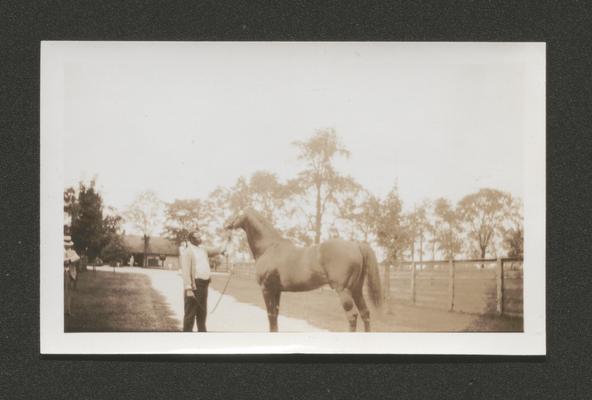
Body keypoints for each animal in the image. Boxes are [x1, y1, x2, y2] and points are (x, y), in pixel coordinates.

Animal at [223, 208, 384, 332]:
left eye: (237, 213)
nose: (226, 225)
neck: (269, 248)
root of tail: (356, 245)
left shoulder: (266, 289)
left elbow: (270, 315)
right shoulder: (276, 290)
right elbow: (275, 315)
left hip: (344, 291)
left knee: (352, 317)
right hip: (356, 290)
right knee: (365, 313)